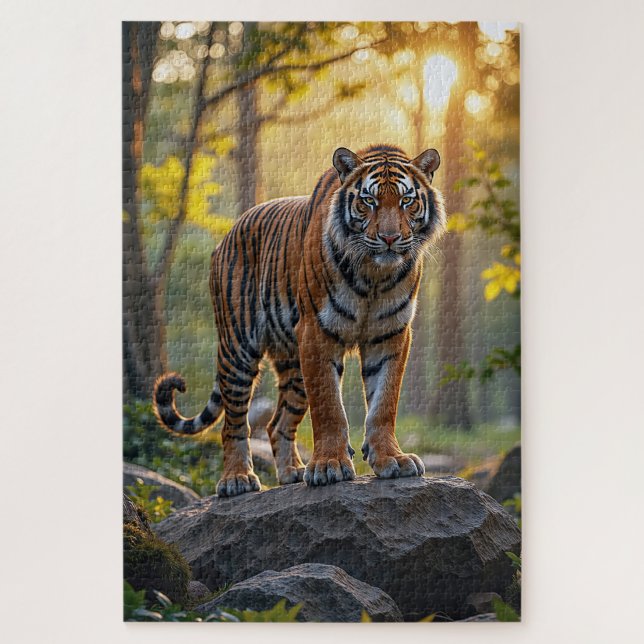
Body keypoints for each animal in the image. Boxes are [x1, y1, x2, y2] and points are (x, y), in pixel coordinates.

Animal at [153, 144, 446, 497]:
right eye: (368, 201)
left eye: (406, 201)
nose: (389, 238)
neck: (374, 274)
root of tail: (229, 233)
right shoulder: (317, 333)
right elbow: (329, 407)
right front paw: (330, 465)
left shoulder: (391, 335)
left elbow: (384, 403)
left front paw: (392, 459)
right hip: (238, 349)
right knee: (234, 423)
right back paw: (237, 479)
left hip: (293, 364)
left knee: (276, 423)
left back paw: (293, 471)